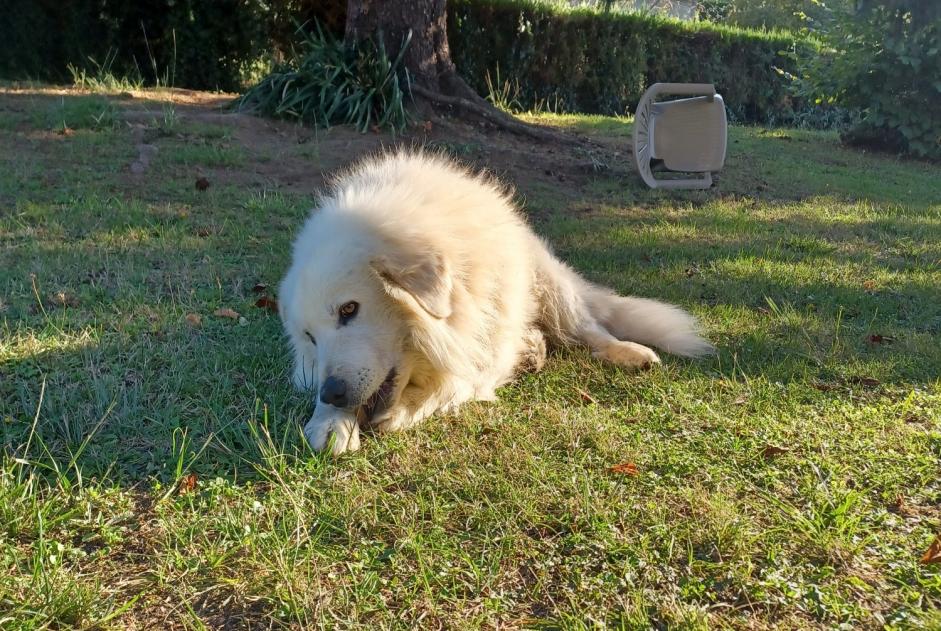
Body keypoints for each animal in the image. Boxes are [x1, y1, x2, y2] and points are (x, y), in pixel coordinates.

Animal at [280, 151, 712, 452]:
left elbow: (454, 382)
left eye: (349, 309)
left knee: (589, 330)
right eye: (310, 338)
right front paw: (329, 422)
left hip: (551, 286)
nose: (330, 393)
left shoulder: (480, 337)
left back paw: (629, 352)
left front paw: (402, 411)